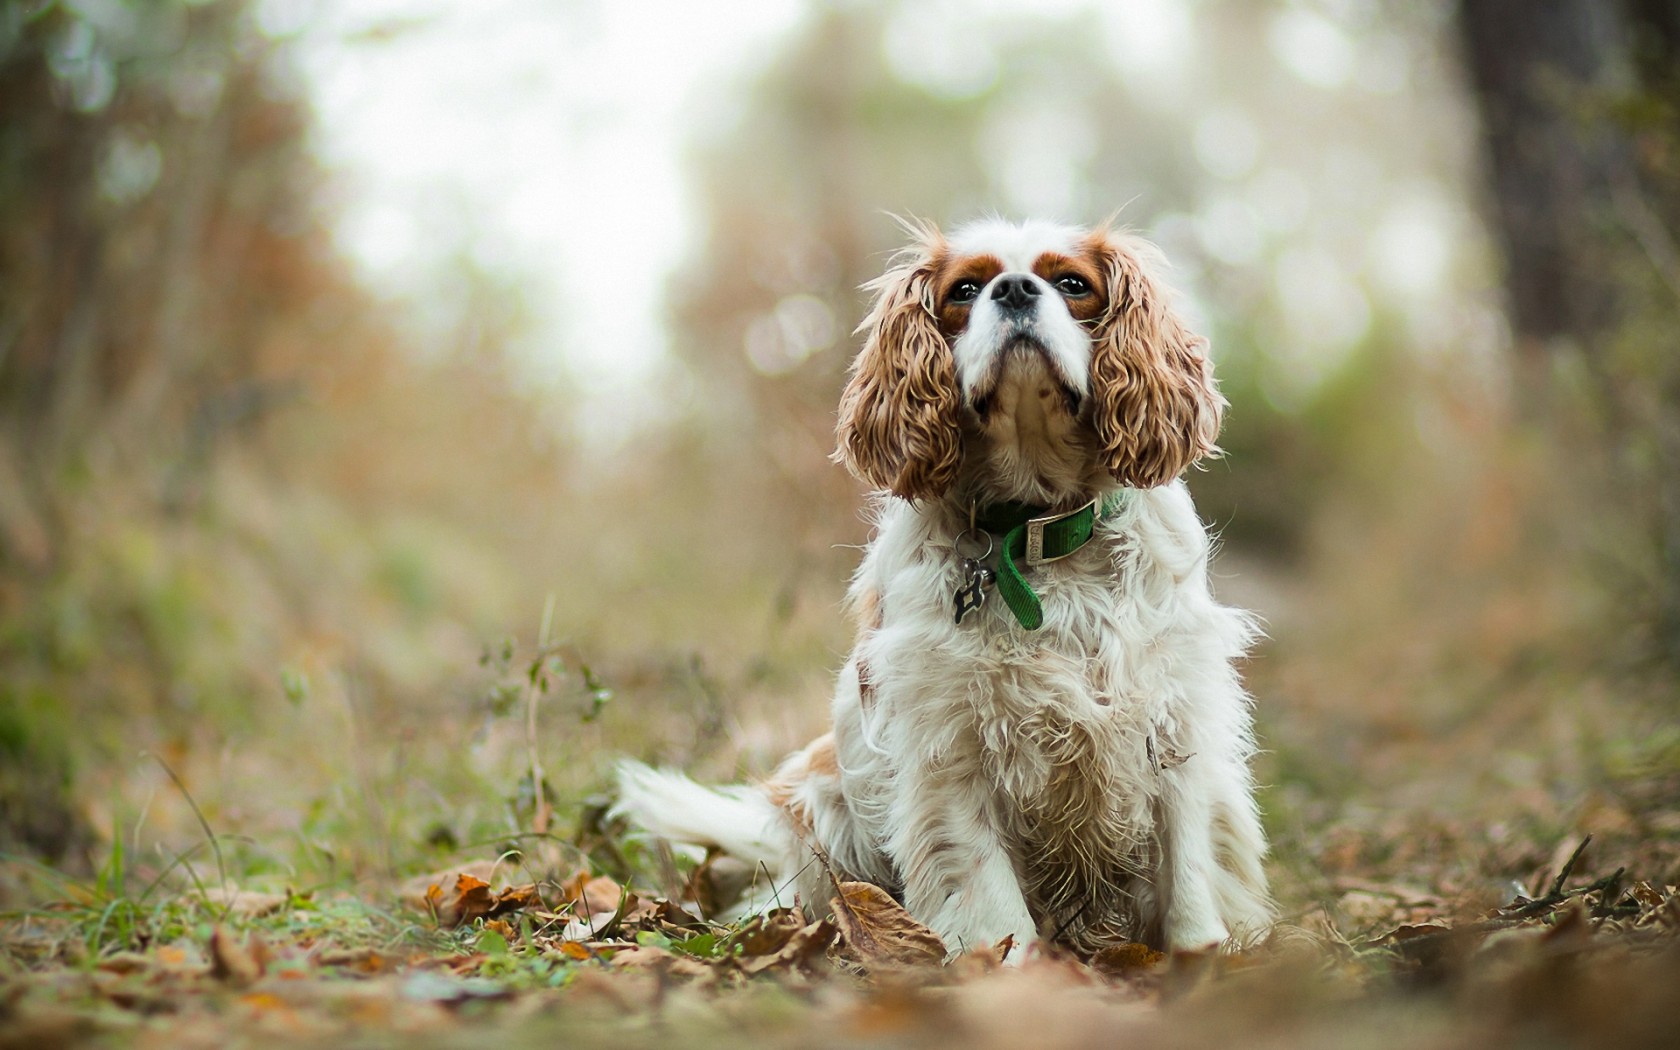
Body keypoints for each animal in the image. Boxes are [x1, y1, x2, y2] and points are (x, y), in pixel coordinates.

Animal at [618, 216, 1270, 954]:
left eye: (1072, 283)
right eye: (964, 290)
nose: (1014, 289)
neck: (1035, 531)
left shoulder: (1172, 714)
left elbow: (1188, 874)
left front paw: (1201, 961)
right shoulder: (951, 744)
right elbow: (992, 900)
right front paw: (1012, 971)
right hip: (825, 803)